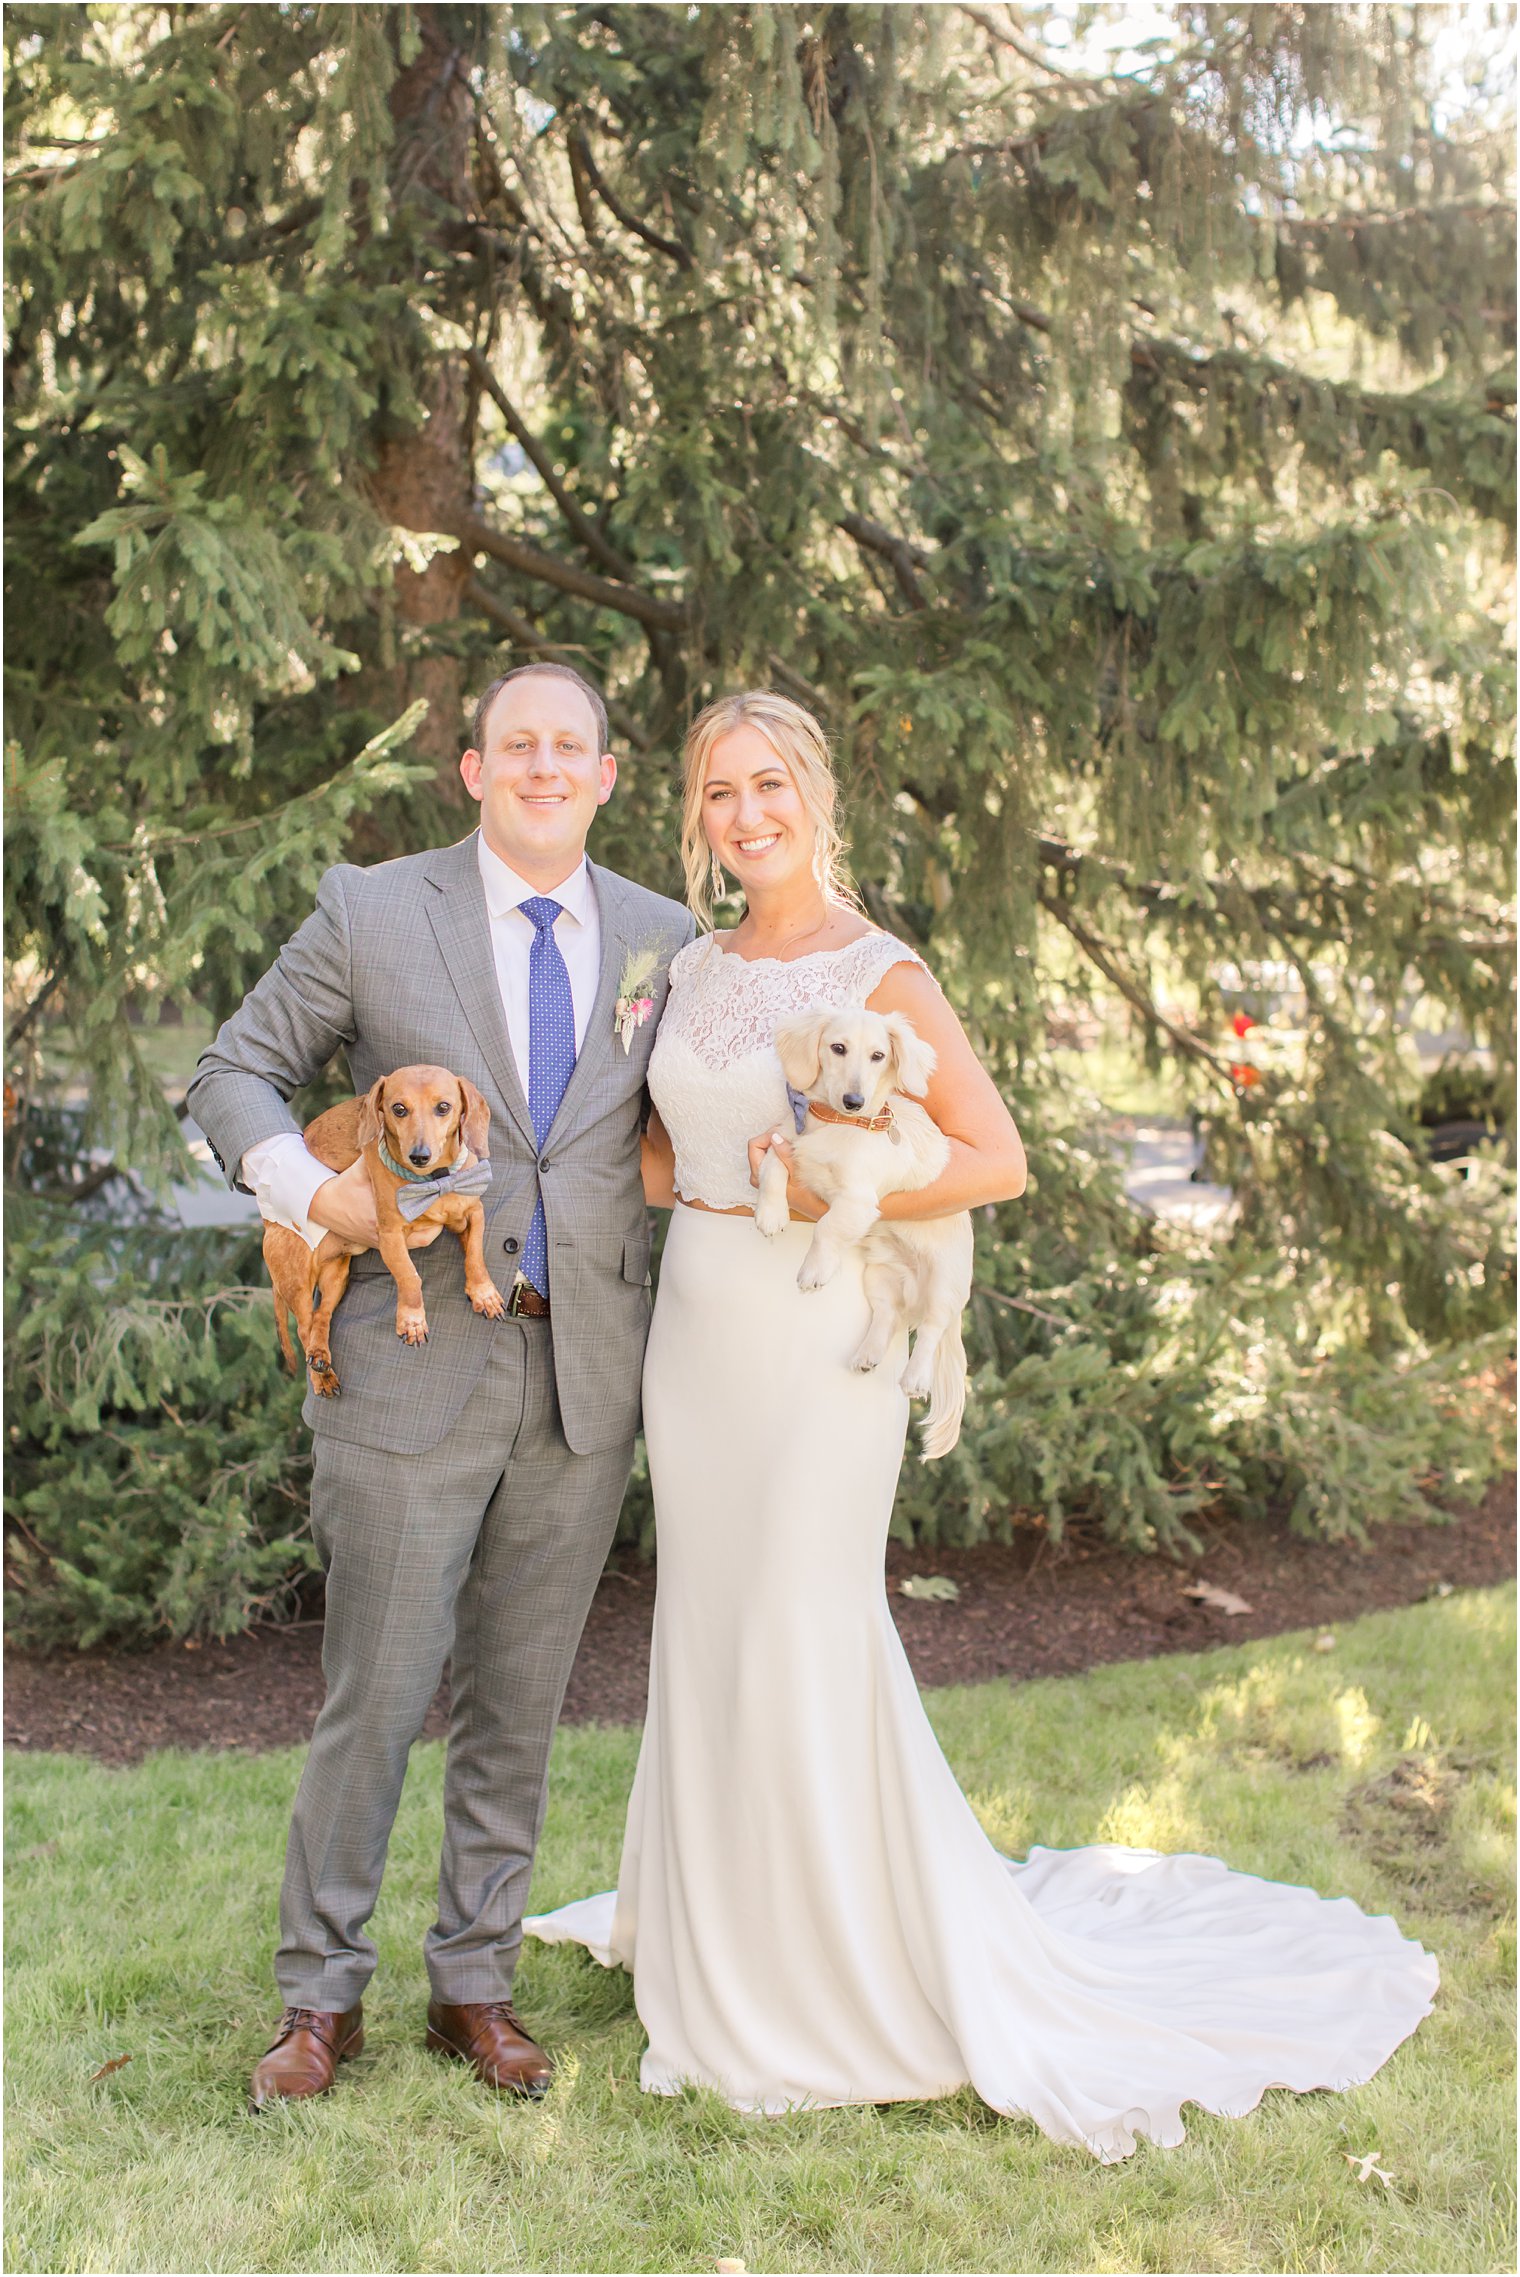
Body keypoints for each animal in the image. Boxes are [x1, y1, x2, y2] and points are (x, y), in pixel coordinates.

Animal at [750, 1010, 973, 1457]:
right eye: (838, 1048)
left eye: (878, 1055)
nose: (854, 1101)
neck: (835, 1124)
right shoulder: (784, 1142)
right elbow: (771, 1169)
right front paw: (771, 1213)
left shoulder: (857, 1199)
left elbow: (825, 1228)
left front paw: (813, 1270)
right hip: (879, 1275)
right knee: (888, 1315)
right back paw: (867, 1354)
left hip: (944, 1283)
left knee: (932, 1327)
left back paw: (915, 1377)